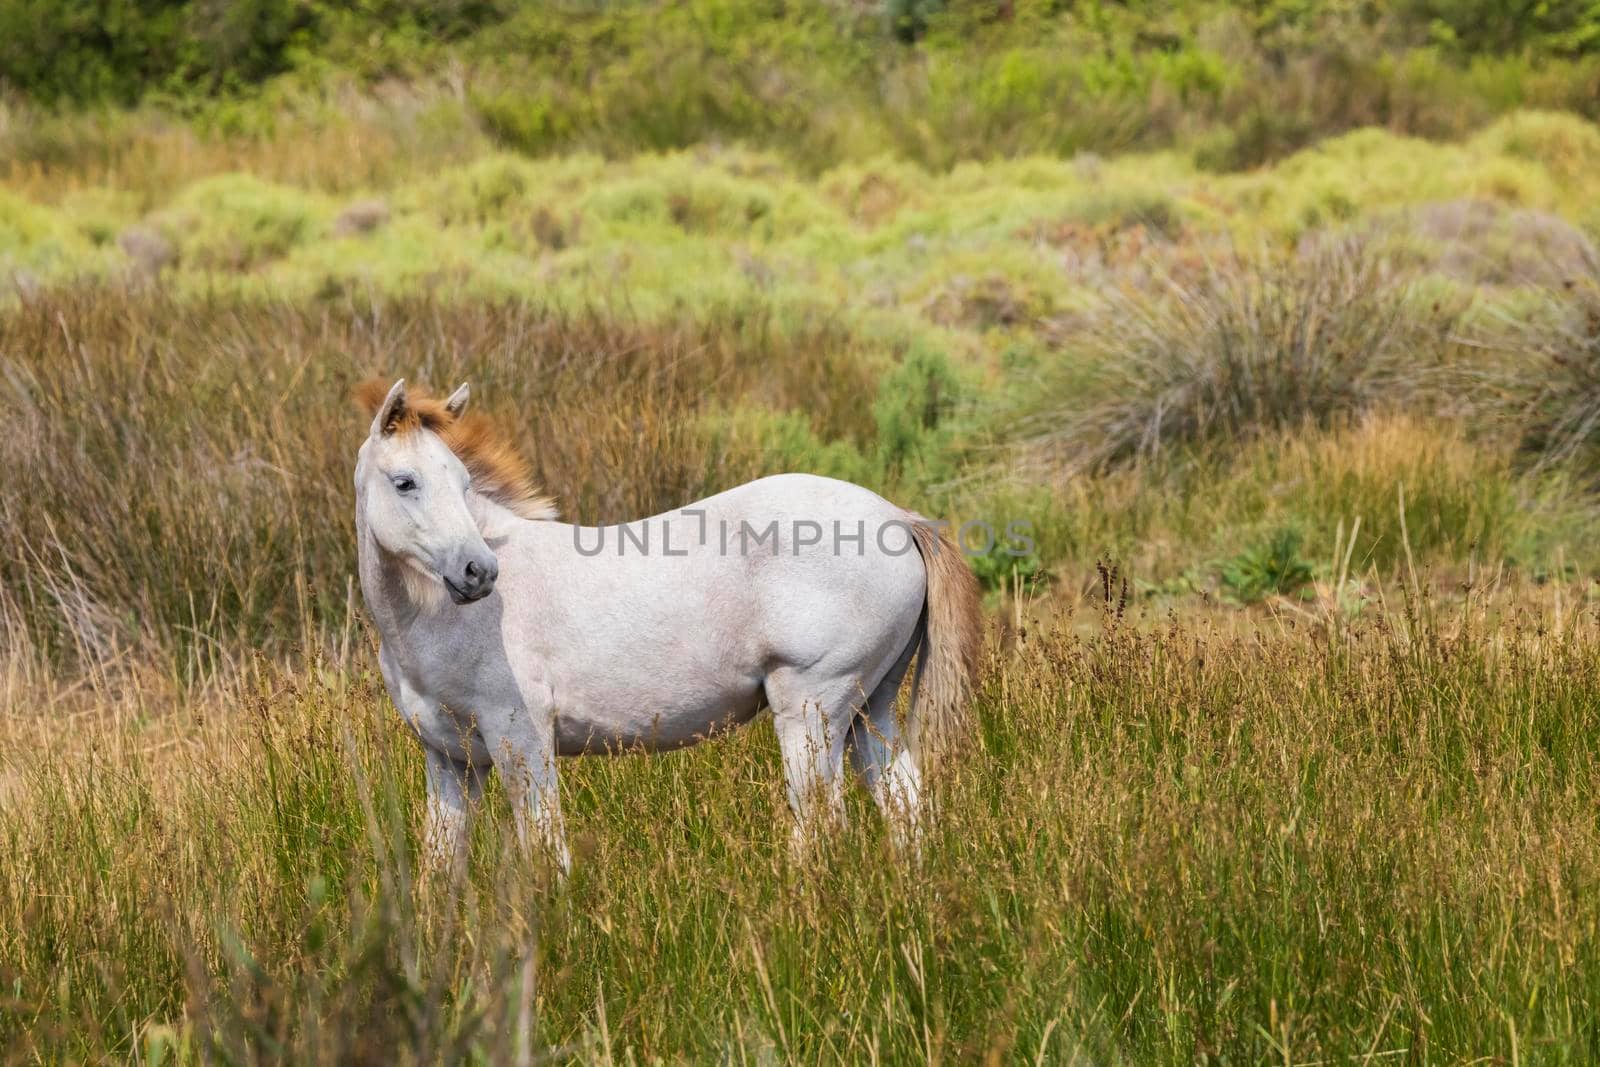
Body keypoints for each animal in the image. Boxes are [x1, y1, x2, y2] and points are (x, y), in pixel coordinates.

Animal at [355, 379, 979, 870]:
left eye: (463, 483)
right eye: (406, 482)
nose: (478, 571)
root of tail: (900, 519)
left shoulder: (522, 743)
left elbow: (546, 852)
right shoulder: (450, 763)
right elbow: (442, 868)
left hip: (812, 713)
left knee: (821, 824)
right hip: (869, 711)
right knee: (903, 800)